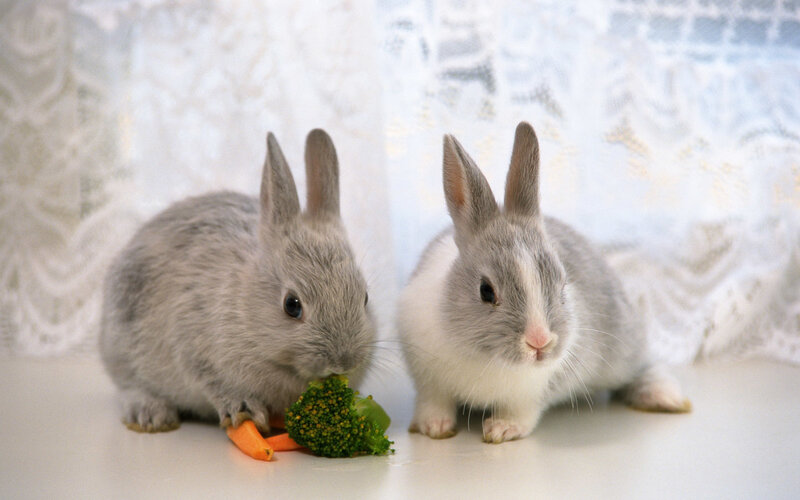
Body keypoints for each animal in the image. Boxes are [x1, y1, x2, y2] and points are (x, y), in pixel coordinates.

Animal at [100, 129, 376, 433]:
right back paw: (151, 416)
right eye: (292, 305)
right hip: (122, 343)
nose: (343, 362)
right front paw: (244, 411)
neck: (245, 311)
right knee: (130, 385)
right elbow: (215, 383)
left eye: (365, 298)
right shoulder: (194, 348)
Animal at [398, 122, 691, 444]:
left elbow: (522, 415)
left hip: (623, 348)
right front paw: (434, 427)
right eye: (486, 291)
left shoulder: (529, 394)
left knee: (644, 366)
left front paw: (502, 429)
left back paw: (665, 397)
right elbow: (434, 403)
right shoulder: (429, 381)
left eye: (563, 285)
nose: (539, 342)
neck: (485, 357)